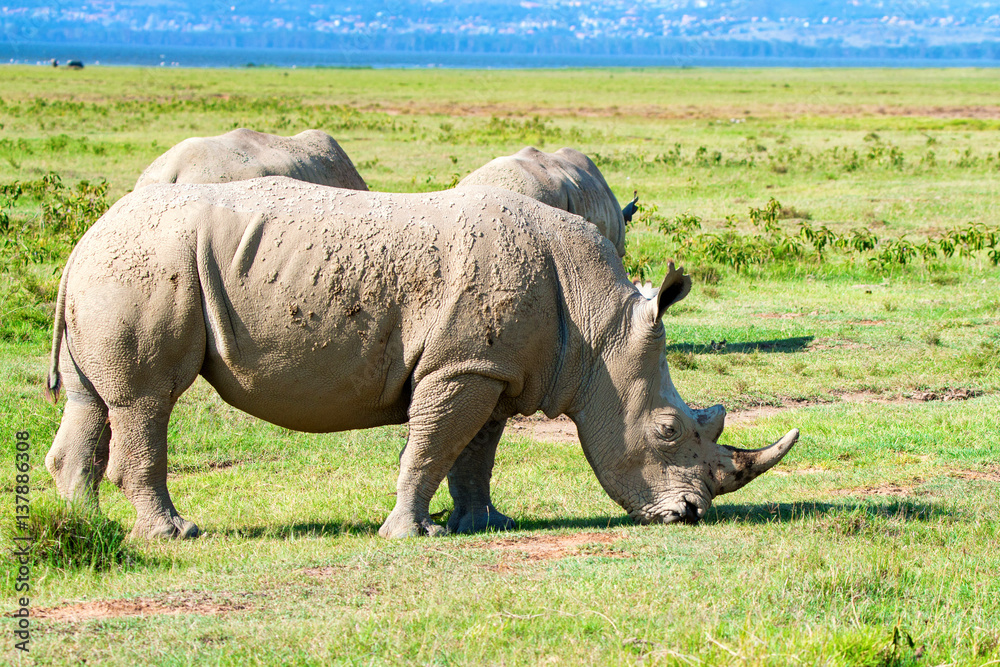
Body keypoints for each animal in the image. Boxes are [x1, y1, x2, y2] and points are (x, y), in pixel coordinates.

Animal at [44, 177, 797, 539]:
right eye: (669, 430)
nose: (691, 515)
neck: (599, 325)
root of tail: (82, 240)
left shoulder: (493, 368)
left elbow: (475, 453)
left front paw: (485, 524)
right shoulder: (459, 367)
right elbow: (431, 447)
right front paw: (411, 534)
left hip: (114, 271)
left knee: (93, 402)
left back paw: (87, 525)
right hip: (145, 268)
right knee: (146, 401)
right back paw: (176, 535)